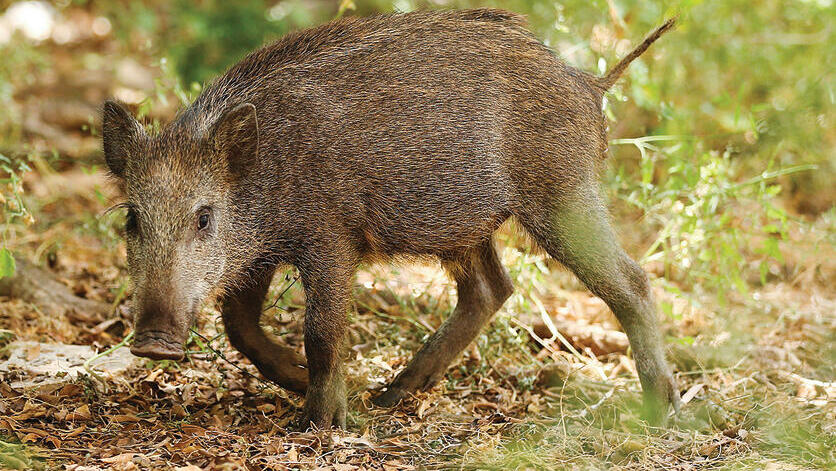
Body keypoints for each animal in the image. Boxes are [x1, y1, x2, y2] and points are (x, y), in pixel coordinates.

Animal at [102, 9, 681, 429]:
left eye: (203, 218)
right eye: (132, 219)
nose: (151, 341)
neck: (265, 177)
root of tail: (590, 83)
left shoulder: (329, 236)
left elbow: (322, 330)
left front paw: (318, 425)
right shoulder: (258, 253)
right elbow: (240, 326)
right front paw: (309, 385)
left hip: (562, 194)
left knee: (631, 282)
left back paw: (661, 411)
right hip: (464, 225)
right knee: (491, 289)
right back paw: (389, 395)